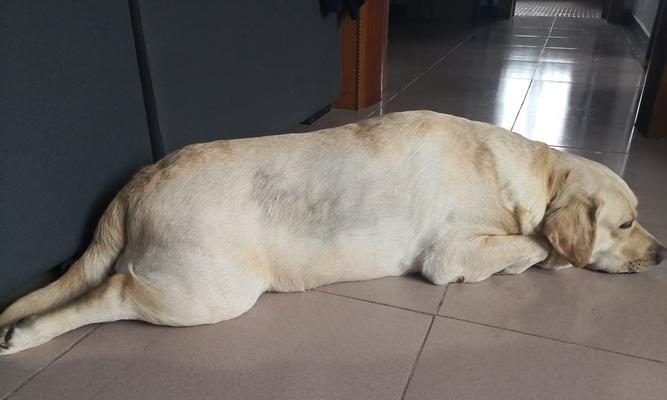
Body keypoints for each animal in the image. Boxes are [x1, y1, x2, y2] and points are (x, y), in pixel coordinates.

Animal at [2, 110, 664, 354]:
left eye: (640, 213)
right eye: (625, 223)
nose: (662, 254)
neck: (529, 173)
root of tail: (137, 182)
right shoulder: (450, 254)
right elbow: (533, 245)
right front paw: (549, 256)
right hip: (212, 292)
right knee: (113, 293)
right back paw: (26, 335)